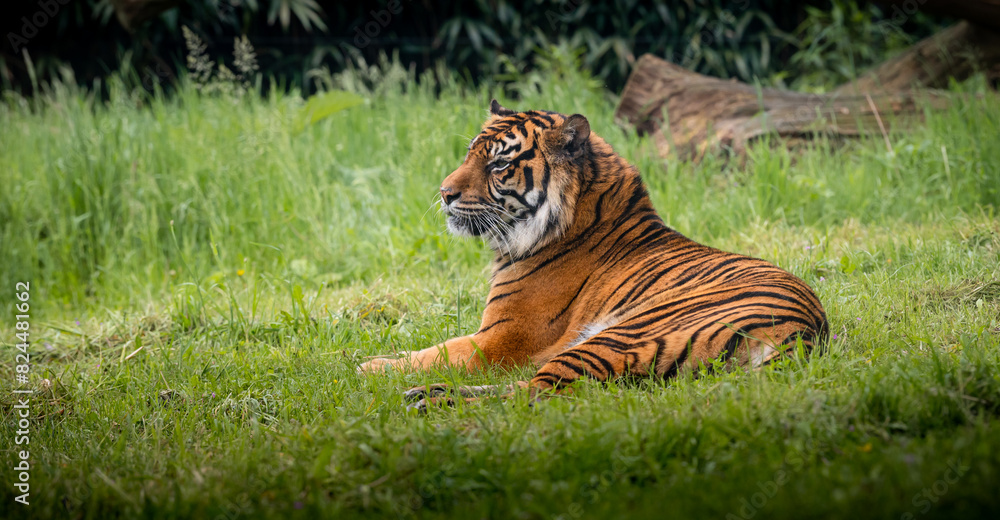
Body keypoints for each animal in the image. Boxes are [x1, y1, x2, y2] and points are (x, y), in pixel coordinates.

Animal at [358, 100, 828, 408]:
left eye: (498, 165)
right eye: (469, 154)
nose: (444, 193)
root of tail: (804, 332)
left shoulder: (500, 339)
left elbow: (434, 353)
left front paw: (366, 366)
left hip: (619, 334)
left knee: (533, 397)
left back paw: (430, 399)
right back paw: (424, 394)